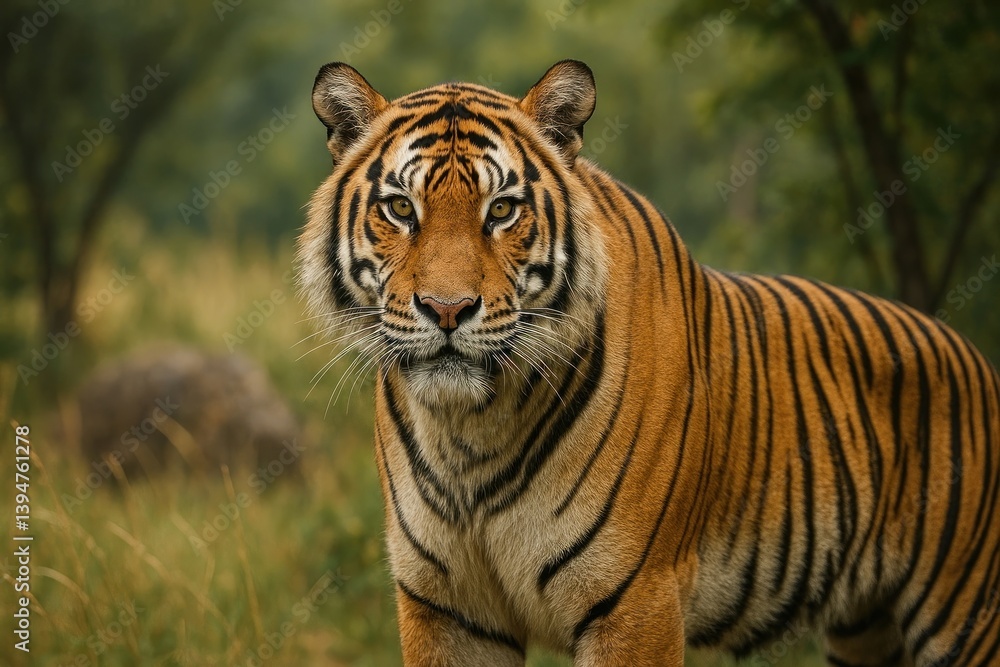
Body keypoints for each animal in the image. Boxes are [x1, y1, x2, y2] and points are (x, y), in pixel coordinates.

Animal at [296, 59, 1000, 666]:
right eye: (400, 208)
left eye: (501, 210)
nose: (448, 309)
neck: (471, 429)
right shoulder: (446, 610)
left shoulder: (635, 598)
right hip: (867, 628)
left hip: (963, 615)